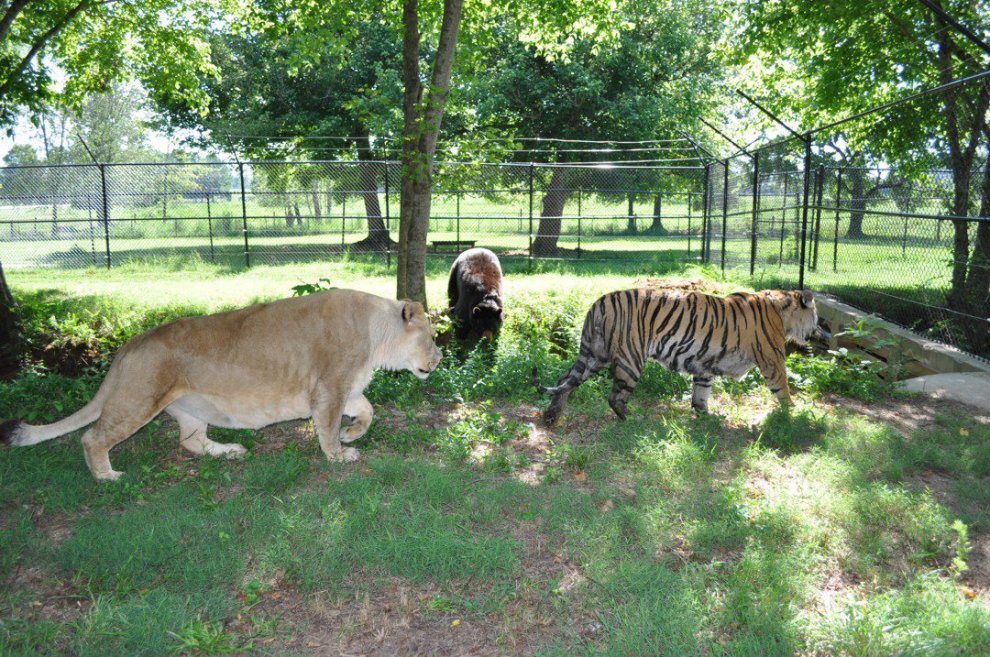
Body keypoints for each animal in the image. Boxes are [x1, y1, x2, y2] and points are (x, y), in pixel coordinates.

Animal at [0, 289, 442, 480]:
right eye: (432, 336)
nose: (439, 359)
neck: (377, 336)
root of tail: (129, 345)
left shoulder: (345, 390)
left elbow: (368, 409)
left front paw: (353, 434)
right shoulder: (328, 390)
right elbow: (329, 428)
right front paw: (339, 454)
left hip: (188, 408)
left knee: (190, 442)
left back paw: (230, 451)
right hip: (139, 398)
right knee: (93, 437)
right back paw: (107, 476)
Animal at [532, 288, 826, 424]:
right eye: (816, 315)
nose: (822, 330)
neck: (783, 311)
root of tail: (598, 303)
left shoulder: (705, 364)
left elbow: (701, 393)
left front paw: (706, 416)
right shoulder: (772, 360)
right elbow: (783, 389)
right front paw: (796, 414)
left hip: (596, 355)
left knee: (564, 379)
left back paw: (551, 415)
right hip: (630, 358)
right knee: (615, 397)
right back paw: (634, 420)